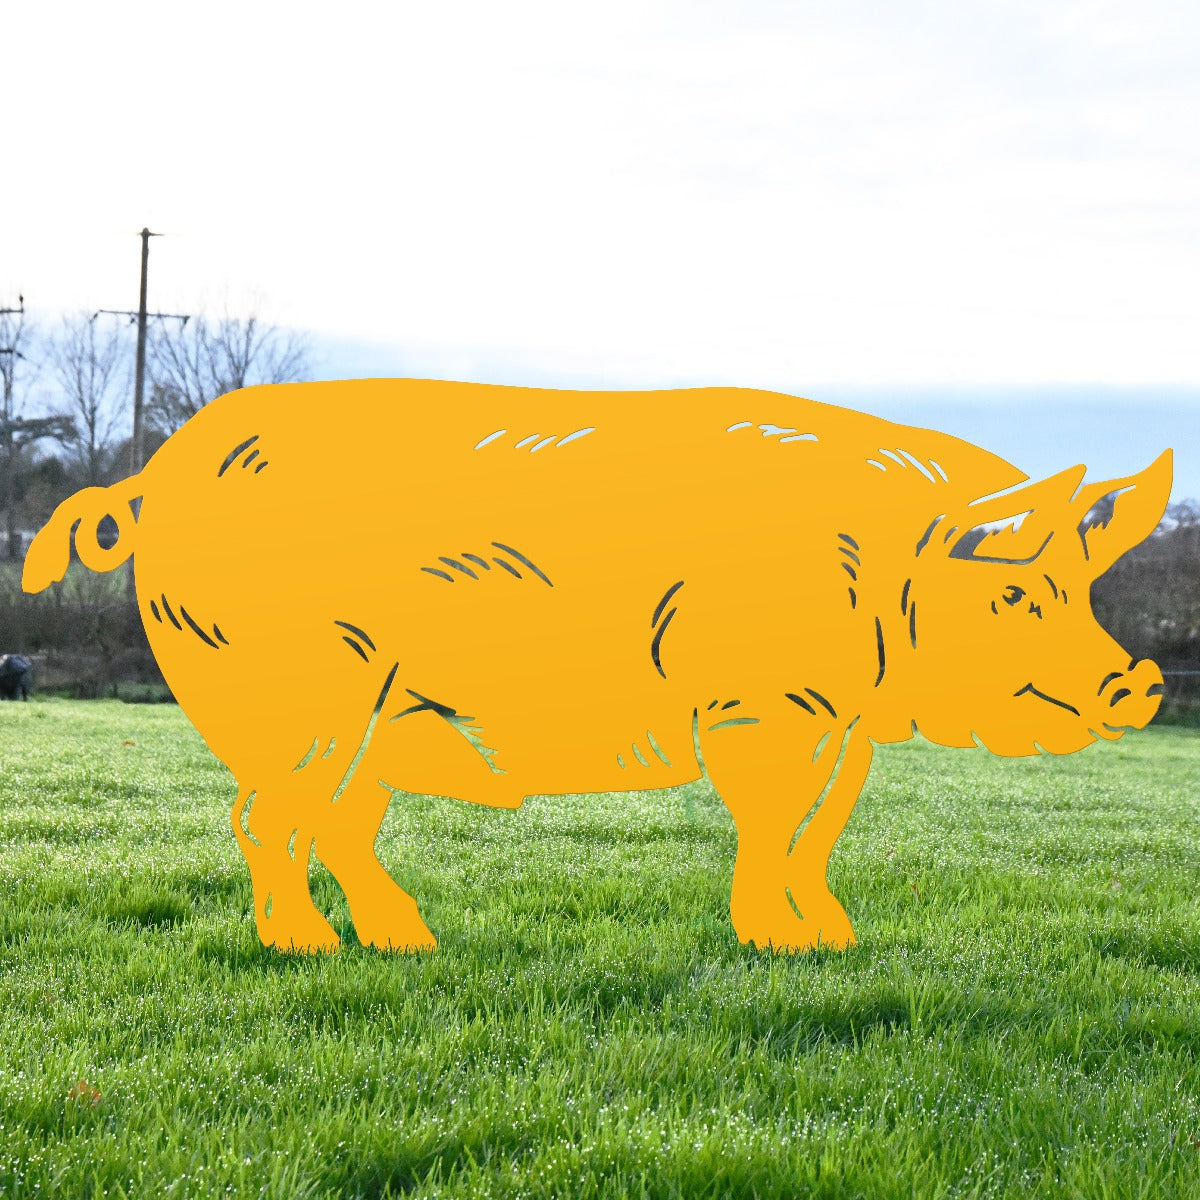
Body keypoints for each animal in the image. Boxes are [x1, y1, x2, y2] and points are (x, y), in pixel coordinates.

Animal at [21, 380, 1172, 954]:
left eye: (1082, 589)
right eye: (1017, 595)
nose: (1143, 681)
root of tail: (154, 478)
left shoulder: (840, 723)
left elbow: (816, 832)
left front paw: (833, 945)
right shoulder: (759, 702)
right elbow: (768, 825)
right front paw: (781, 948)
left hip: (386, 714)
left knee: (335, 826)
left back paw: (406, 947)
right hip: (304, 695)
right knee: (267, 819)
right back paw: (308, 951)